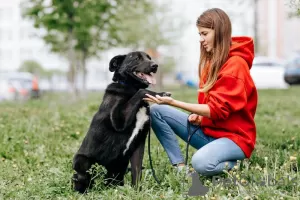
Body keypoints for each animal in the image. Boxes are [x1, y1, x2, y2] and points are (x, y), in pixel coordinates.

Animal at [72, 50, 170, 193]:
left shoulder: (139, 143)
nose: (155, 65)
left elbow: (137, 171)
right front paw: (160, 94)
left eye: (149, 57)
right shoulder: (118, 121)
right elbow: (143, 91)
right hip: (82, 161)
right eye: (136, 58)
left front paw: (137, 192)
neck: (131, 88)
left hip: (121, 166)